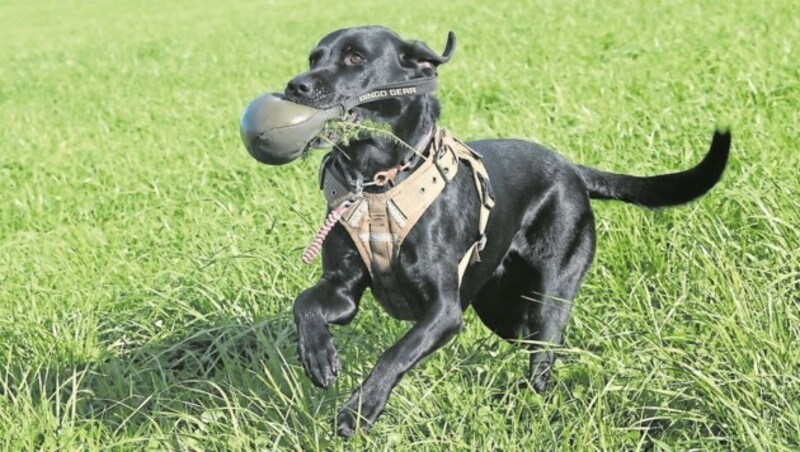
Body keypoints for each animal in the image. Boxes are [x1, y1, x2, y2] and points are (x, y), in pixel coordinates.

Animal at [282, 26, 732, 436]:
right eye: (313, 58)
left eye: (356, 57)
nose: (294, 86)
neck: (379, 182)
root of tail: (572, 168)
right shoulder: (342, 289)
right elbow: (305, 304)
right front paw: (318, 355)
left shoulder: (444, 311)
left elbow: (395, 353)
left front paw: (359, 409)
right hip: (500, 307)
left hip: (550, 295)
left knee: (543, 353)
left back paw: (535, 404)